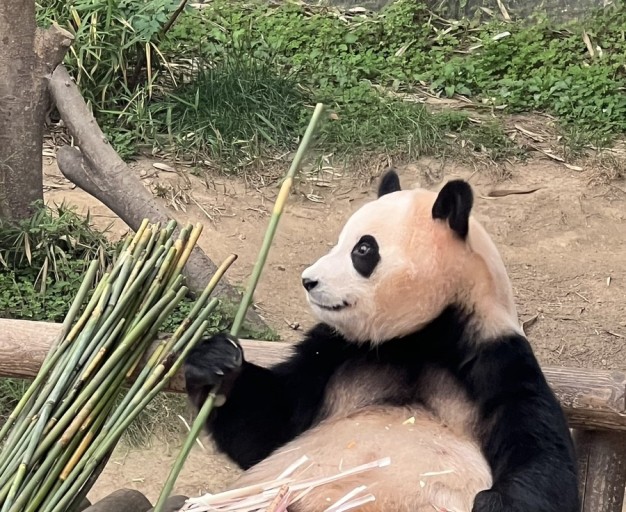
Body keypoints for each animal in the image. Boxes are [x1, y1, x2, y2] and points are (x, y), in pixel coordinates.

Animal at [183, 171, 576, 512]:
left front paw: (496, 503)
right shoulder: (335, 352)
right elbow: (268, 424)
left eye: (363, 250)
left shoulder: (493, 357)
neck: (418, 337)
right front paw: (215, 362)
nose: (308, 280)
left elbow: (540, 451)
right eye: (338, 242)